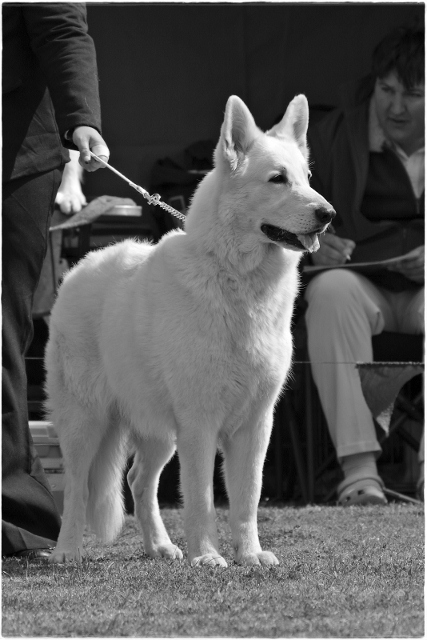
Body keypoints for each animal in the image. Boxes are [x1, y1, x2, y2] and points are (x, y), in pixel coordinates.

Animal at [45, 94, 336, 564]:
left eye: (307, 178)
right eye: (277, 179)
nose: (328, 214)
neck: (236, 280)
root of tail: (81, 266)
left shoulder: (256, 425)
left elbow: (247, 499)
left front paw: (250, 555)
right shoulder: (199, 423)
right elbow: (200, 497)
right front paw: (208, 557)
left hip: (158, 431)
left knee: (139, 481)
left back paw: (160, 546)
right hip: (85, 422)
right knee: (76, 487)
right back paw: (66, 552)